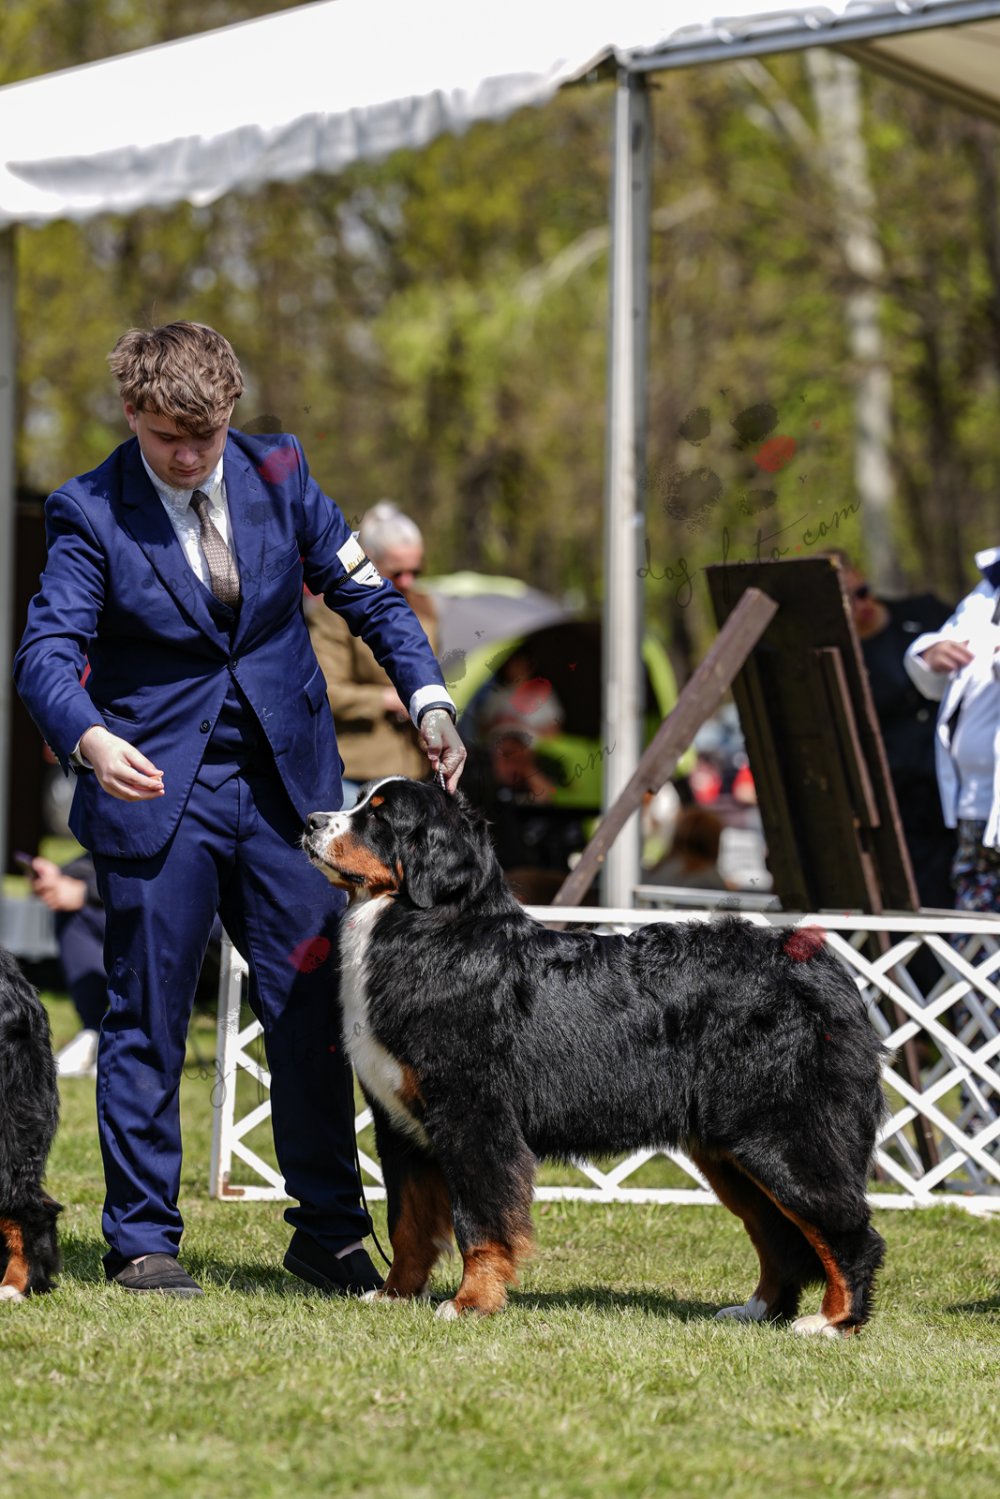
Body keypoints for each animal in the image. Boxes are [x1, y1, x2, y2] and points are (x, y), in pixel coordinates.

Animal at [304, 777, 886, 1335]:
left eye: (380, 816)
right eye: (359, 802)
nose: (309, 820)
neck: (426, 929)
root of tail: (823, 970)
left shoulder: (473, 1117)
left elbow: (480, 1224)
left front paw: (470, 1304)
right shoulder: (400, 1127)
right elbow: (407, 1225)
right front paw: (395, 1295)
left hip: (784, 1137)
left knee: (848, 1232)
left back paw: (833, 1322)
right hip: (730, 1153)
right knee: (776, 1234)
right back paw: (759, 1311)